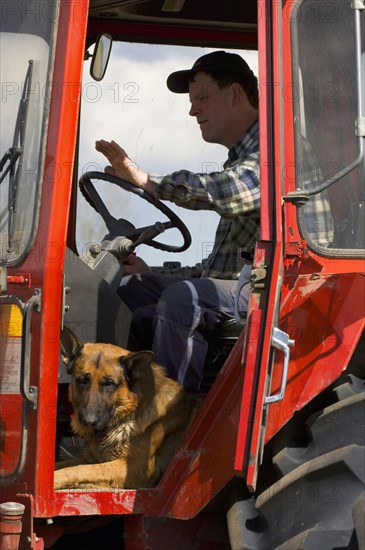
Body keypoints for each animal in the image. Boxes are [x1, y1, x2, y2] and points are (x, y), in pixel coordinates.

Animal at [53, 328, 199, 492]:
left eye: (109, 383)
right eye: (82, 380)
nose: (88, 421)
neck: (130, 414)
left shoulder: (133, 469)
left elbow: (79, 470)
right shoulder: (89, 458)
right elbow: (63, 465)